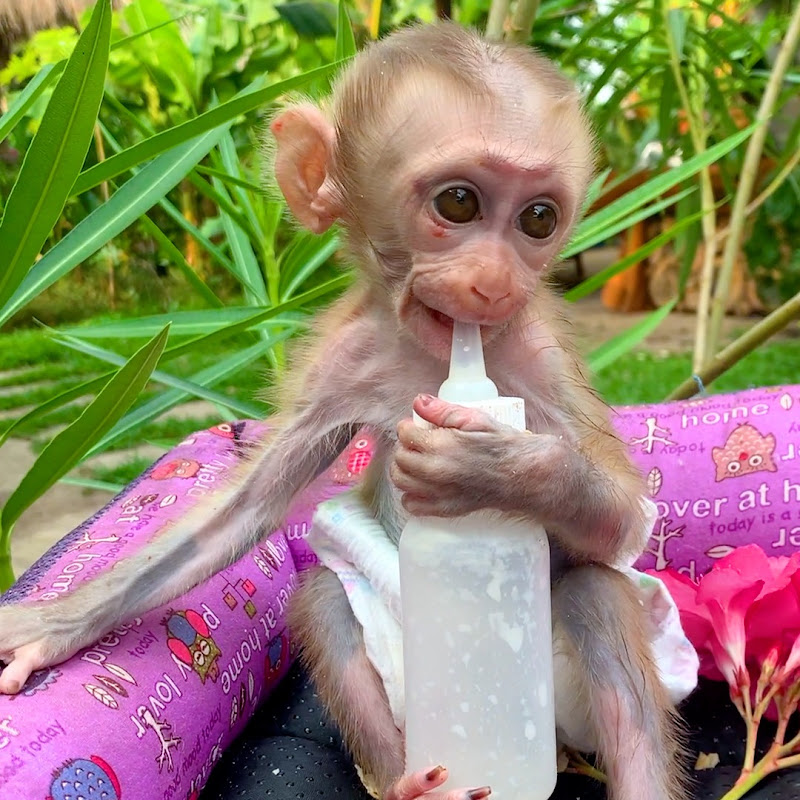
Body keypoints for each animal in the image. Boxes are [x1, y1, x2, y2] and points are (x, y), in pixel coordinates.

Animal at [0, 22, 685, 800]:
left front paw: (493, 468)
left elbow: (627, 518)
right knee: (323, 596)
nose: (495, 284)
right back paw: (411, 782)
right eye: (458, 204)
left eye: (539, 218)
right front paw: (52, 628)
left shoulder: (540, 353)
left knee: (597, 593)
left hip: (563, 702)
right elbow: (243, 513)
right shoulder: (342, 356)